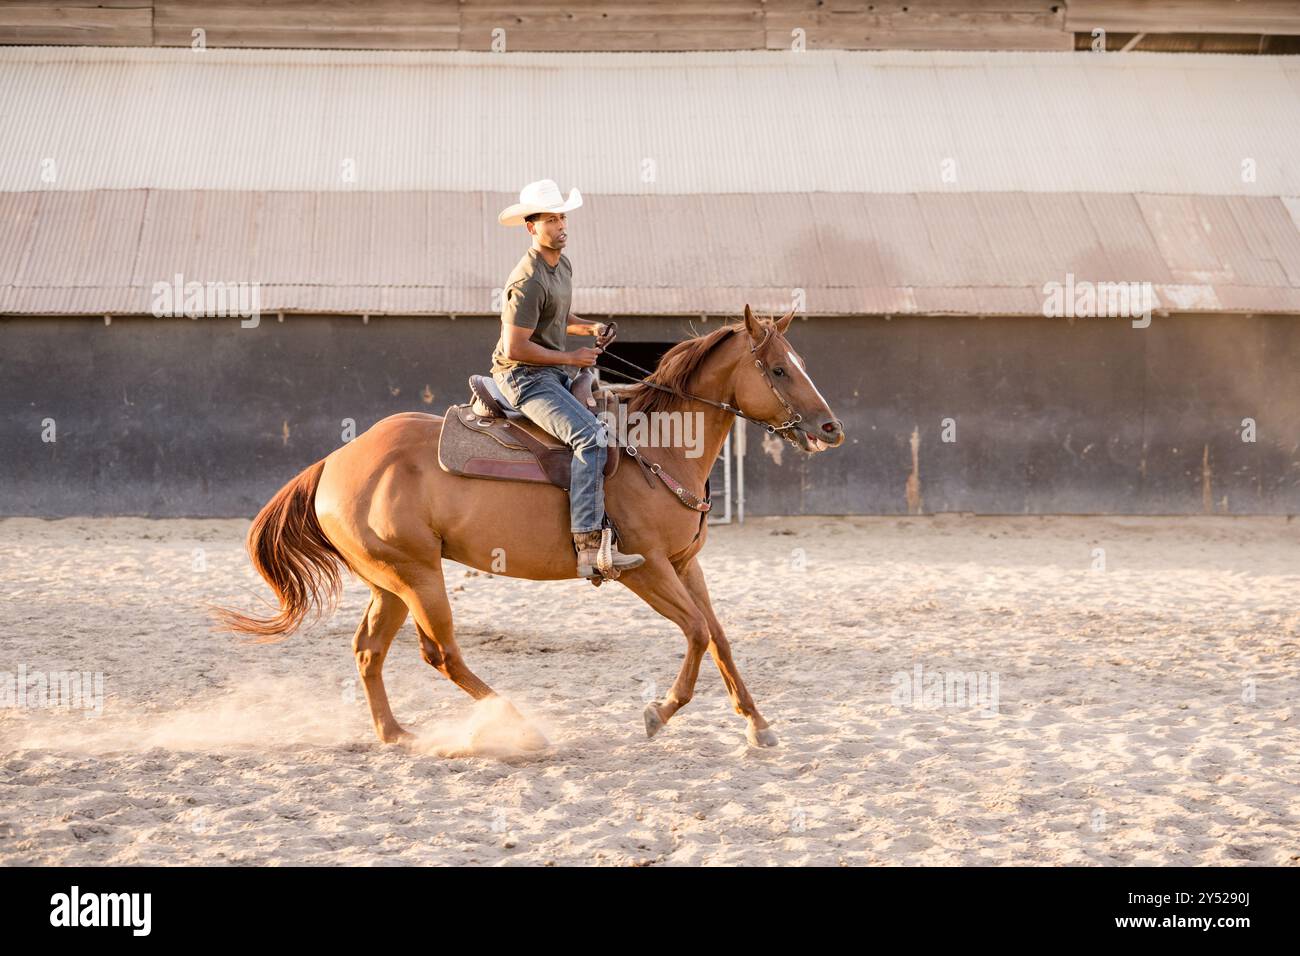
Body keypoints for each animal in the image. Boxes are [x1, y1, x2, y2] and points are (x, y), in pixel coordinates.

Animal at [215, 306, 842, 749]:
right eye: (779, 369)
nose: (830, 428)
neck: (656, 448)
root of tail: (335, 462)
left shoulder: (687, 564)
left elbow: (718, 636)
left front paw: (757, 724)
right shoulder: (644, 569)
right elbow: (694, 631)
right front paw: (658, 713)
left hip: (388, 582)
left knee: (369, 651)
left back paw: (395, 734)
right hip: (417, 576)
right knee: (442, 653)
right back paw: (519, 726)